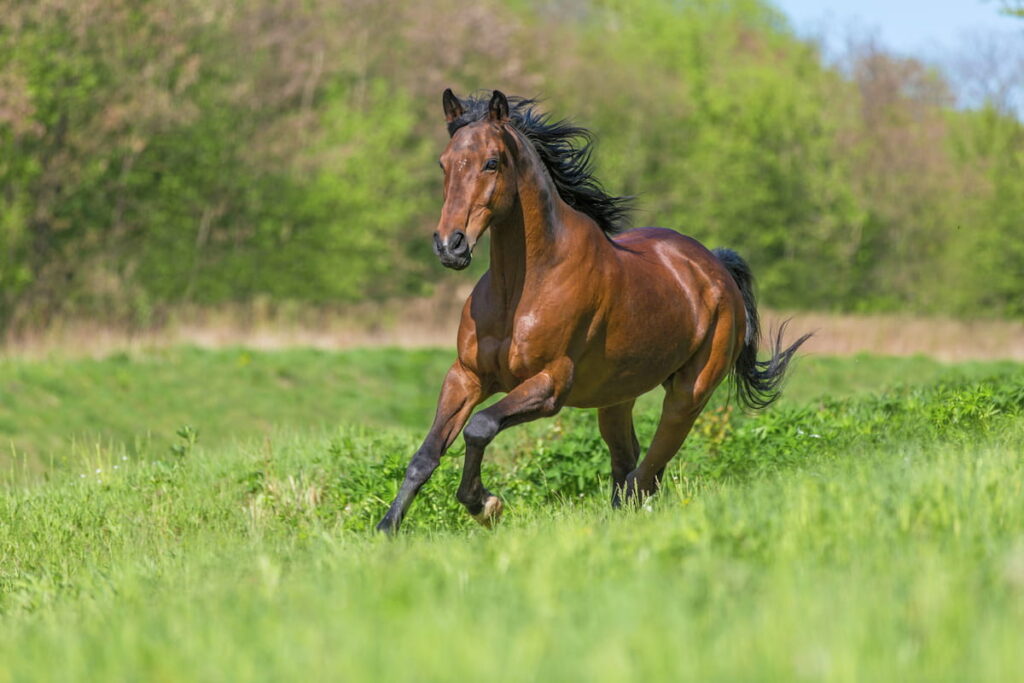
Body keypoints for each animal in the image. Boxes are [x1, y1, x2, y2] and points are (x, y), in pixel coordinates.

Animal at [376, 88, 806, 532]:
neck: (521, 288)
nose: (450, 245)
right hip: (616, 397)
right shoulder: (466, 376)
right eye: (444, 162)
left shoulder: (550, 385)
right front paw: (387, 528)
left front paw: (485, 504)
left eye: (491, 162)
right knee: (628, 460)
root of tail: (716, 267)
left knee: (648, 470)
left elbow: (480, 427)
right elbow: (425, 455)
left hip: (689, 394)